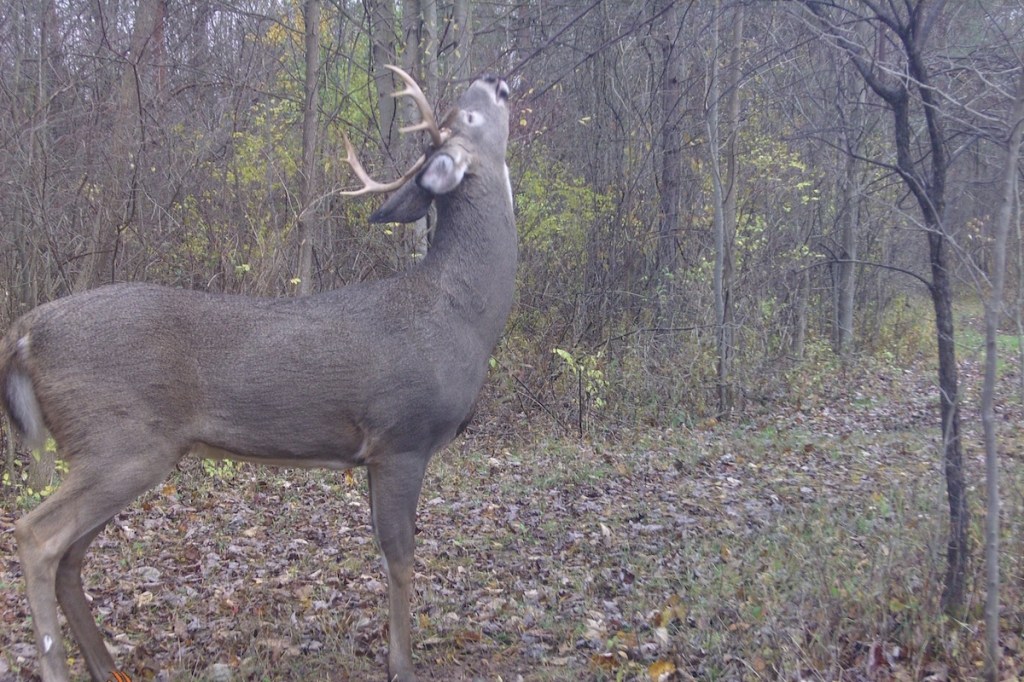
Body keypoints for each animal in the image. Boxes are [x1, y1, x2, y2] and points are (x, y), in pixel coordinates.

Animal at [0, 67, 515, 682]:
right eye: (470, 114)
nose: (494, 76)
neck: (462, 313)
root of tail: (26, 332)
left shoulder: (375, 455)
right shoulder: (403, 438)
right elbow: (401, 559)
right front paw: (401, 666)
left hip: (118, 451)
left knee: (70, 555)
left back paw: (106, 667)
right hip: (118, 440)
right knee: (36, 535)